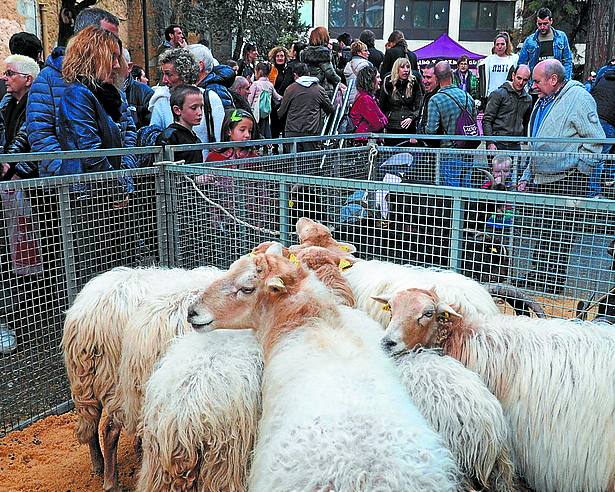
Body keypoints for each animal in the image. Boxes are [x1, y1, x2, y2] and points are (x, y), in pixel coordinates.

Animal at [60, 268, 223, 490]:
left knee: (90, 423)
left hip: (87, 380)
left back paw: (99, 465)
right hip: (117, 381)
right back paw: (112, 483)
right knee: (109, 429)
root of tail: (86, 319)